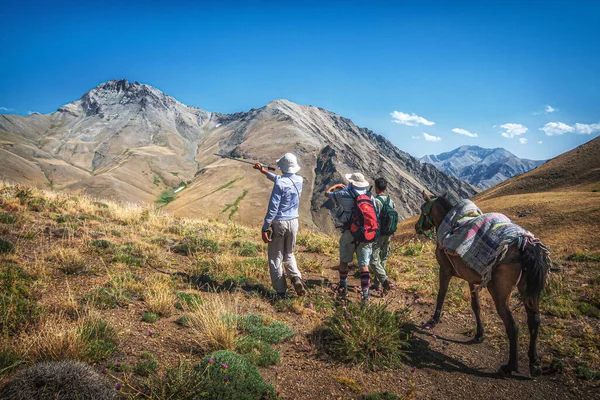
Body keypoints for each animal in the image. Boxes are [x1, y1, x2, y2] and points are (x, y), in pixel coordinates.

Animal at [414, 190, 552, 376]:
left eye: (422, 209)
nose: (416, 227)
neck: (449, 223)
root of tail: (525, 245)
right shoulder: (472, 280)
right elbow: (476, 305)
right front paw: (479, 334)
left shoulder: (445, 271)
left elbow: (441, 295)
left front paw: (433, 320)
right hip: (529, 291)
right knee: (534, 321)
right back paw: (534, 362)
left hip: (500, 294)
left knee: (513, 326)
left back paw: (510, 366)